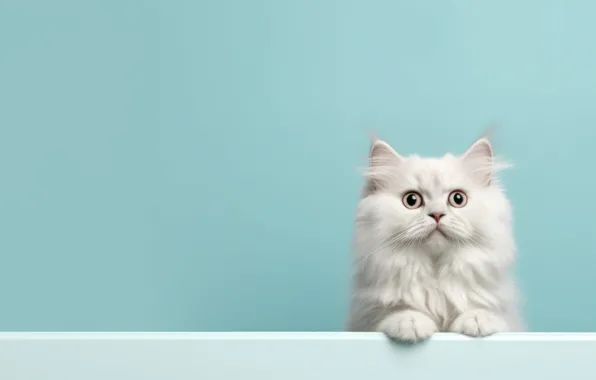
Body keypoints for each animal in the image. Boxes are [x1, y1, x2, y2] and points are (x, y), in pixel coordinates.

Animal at [344, 136, 520, 342]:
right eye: (411, 200)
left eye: (458, 199)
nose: (437, 214)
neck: (436, 276)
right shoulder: (365, 317)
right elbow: (397, 311)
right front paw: (410, 322)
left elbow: (485, 312)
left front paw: (477, 320)